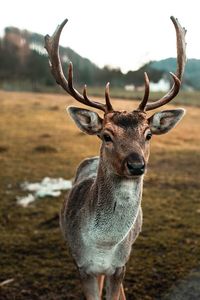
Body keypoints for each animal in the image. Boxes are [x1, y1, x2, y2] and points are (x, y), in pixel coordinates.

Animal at [45, 16, 186, 300]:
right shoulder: (82, 265)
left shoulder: (120, 265)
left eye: (149, 134)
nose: (136, 164)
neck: (103, 246)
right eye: (106, 135)